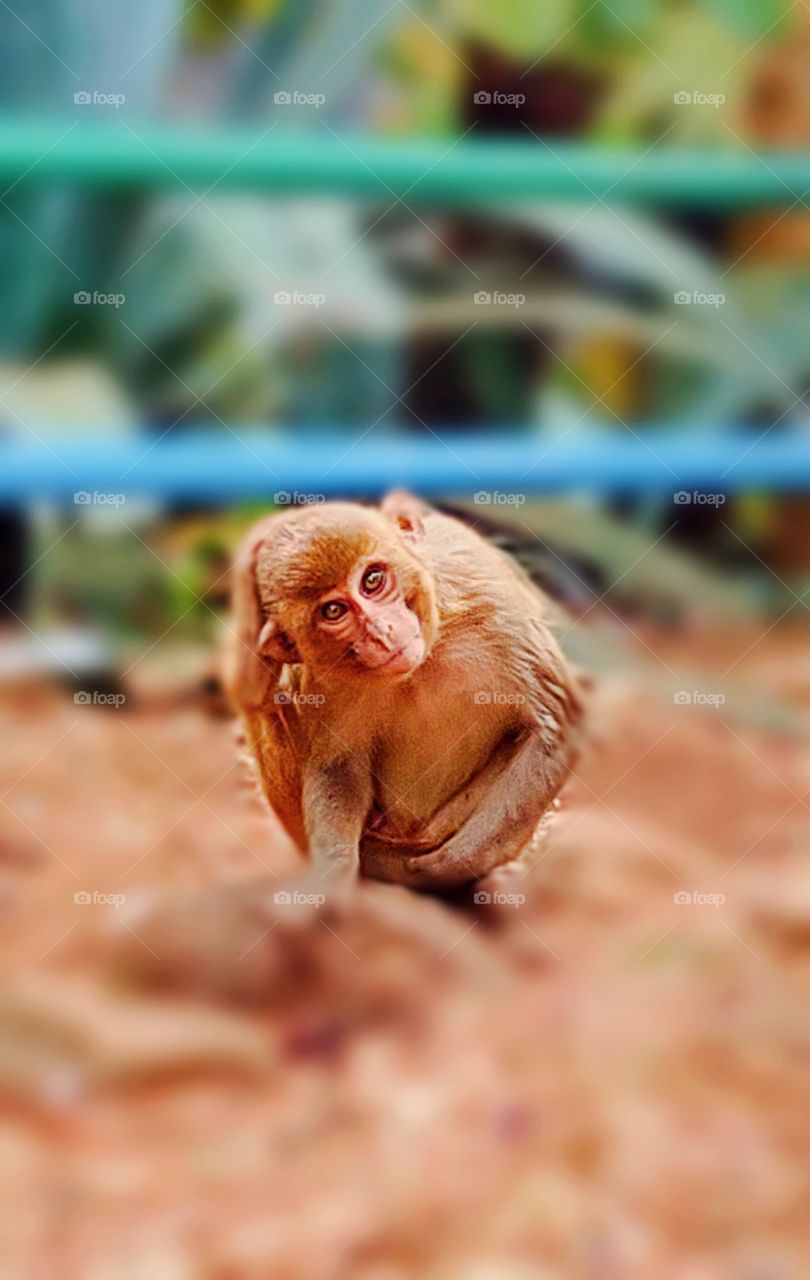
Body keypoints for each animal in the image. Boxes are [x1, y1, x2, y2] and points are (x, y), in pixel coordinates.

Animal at [225, 492, 585, 901]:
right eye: (334, 610)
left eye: (372, 580)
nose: (381, 633)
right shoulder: (326, 679)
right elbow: (338, 767)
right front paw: (330, 880)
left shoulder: (489, 598)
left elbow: (555, 726)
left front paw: (446, 868)